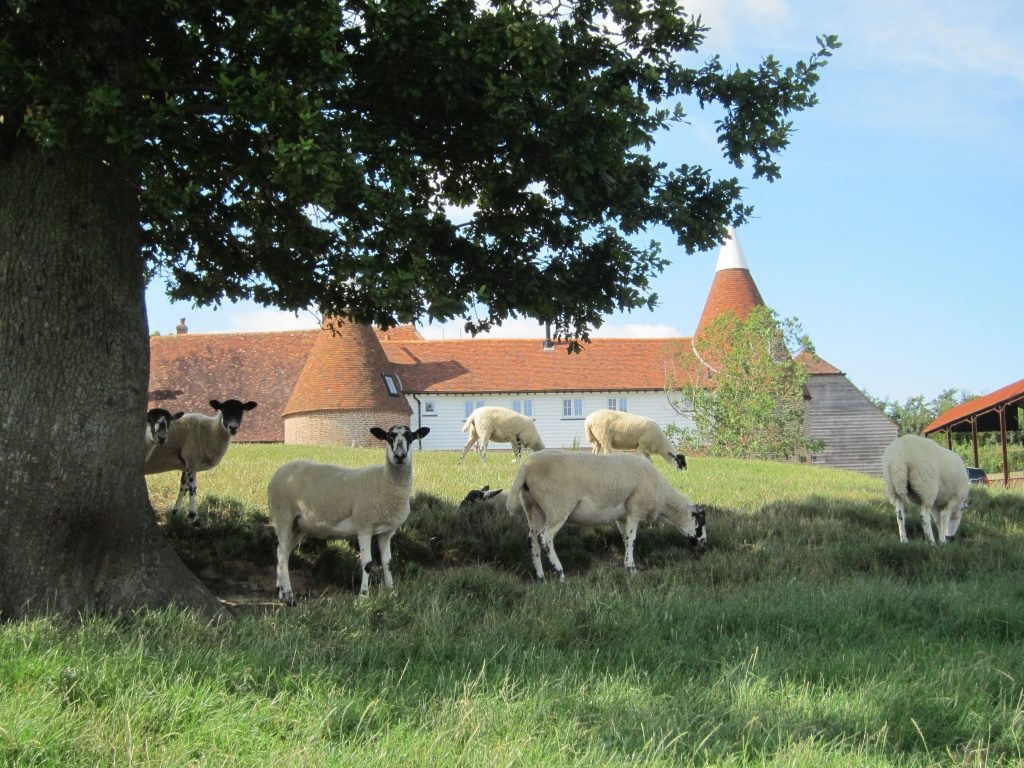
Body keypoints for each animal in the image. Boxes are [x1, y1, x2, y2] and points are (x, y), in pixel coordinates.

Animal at [144, 399, 256, 528]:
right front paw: (193, 516)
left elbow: (183, 486)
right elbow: (192, 487)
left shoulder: (186, 464)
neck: (211, 431)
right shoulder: (192, 461)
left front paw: (175, 513)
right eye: (223, 409)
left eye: (241, 411)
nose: (233, 428)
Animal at [268, 423, 428, 606]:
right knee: (282, 556)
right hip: (283, 516)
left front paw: (391, 591)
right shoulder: (364, 525)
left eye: (411, 437)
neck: (385, 480)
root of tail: (277, 473)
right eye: (388, 437)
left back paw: (281, 592)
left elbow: (388, 563)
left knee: (282, 552)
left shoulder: (387, 532)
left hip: (298, 526)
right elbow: (367, 563)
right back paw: (289, 596)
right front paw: (364, 595)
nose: (400, 456)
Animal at [507, 448, 708, 581]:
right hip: (557, 506)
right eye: (700, 523)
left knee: (532, 540)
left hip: (533, 508)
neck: (663, 494)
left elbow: (626, 539)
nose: (705, 546)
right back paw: (559, 572)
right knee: (544, 538)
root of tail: (525, 468)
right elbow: (632, 539)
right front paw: (632, 568)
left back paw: (540, 576)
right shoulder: (635, 510)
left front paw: (627, 564)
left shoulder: (623, 516)